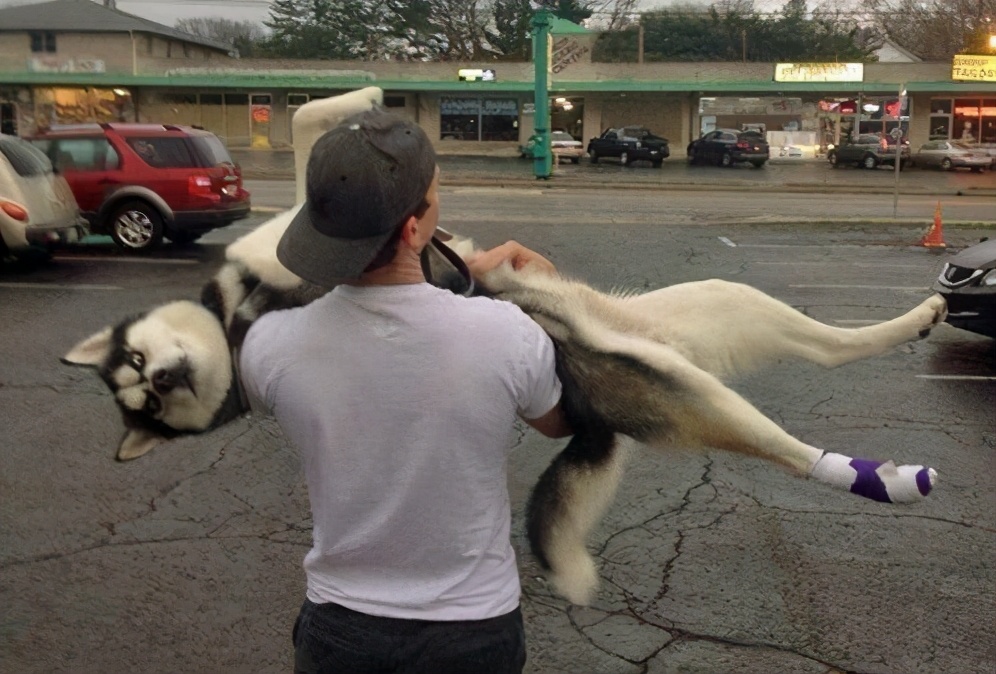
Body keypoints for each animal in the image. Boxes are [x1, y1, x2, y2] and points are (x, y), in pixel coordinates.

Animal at [62, 88, 948, 604]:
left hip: (714, 309)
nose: (165, 374)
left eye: (142, 371)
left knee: (828, 347)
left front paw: (365, 100)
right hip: (680, 382)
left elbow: (315, 122)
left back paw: (914, 321)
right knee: (791, 446)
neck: (236, 321)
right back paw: (881, 477)